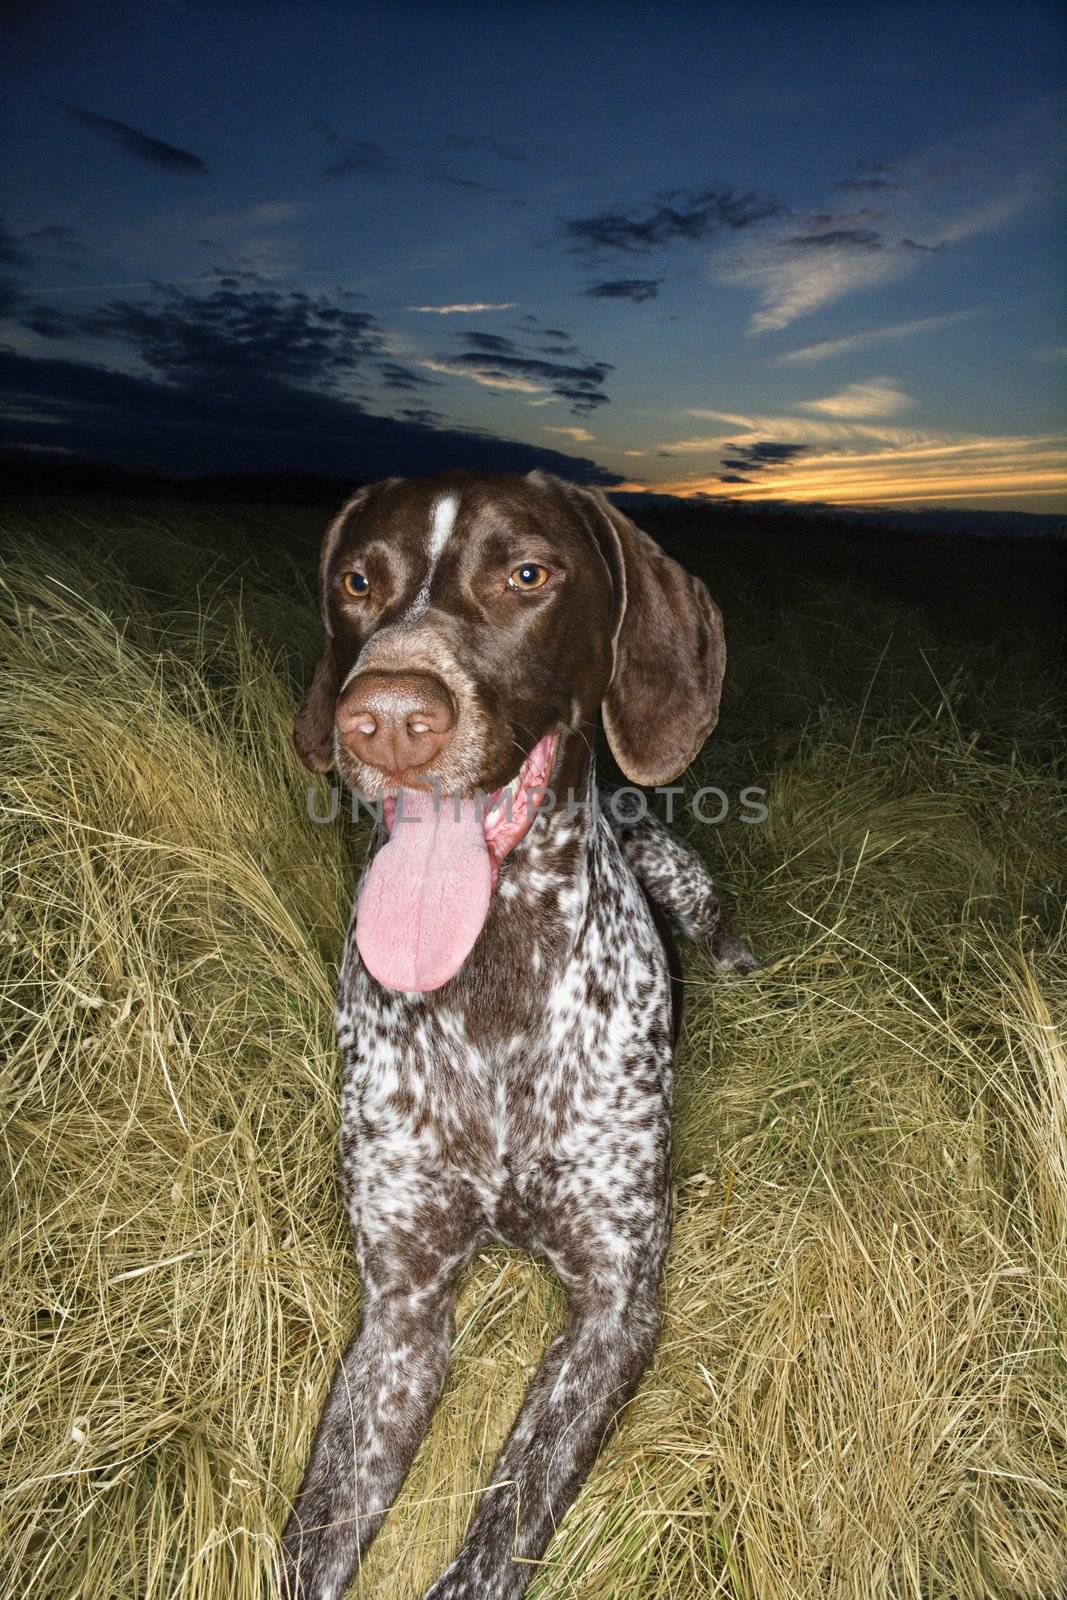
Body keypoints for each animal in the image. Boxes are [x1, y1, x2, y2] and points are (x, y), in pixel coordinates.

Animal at [279, 467, 755, 1593]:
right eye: (358, 580)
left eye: (528, 574)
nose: (385, 716)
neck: (490, 979)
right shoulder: (400, 1312)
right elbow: (313, 1534)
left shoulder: (615, 1306)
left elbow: (504, 1529)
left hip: (681, 871)